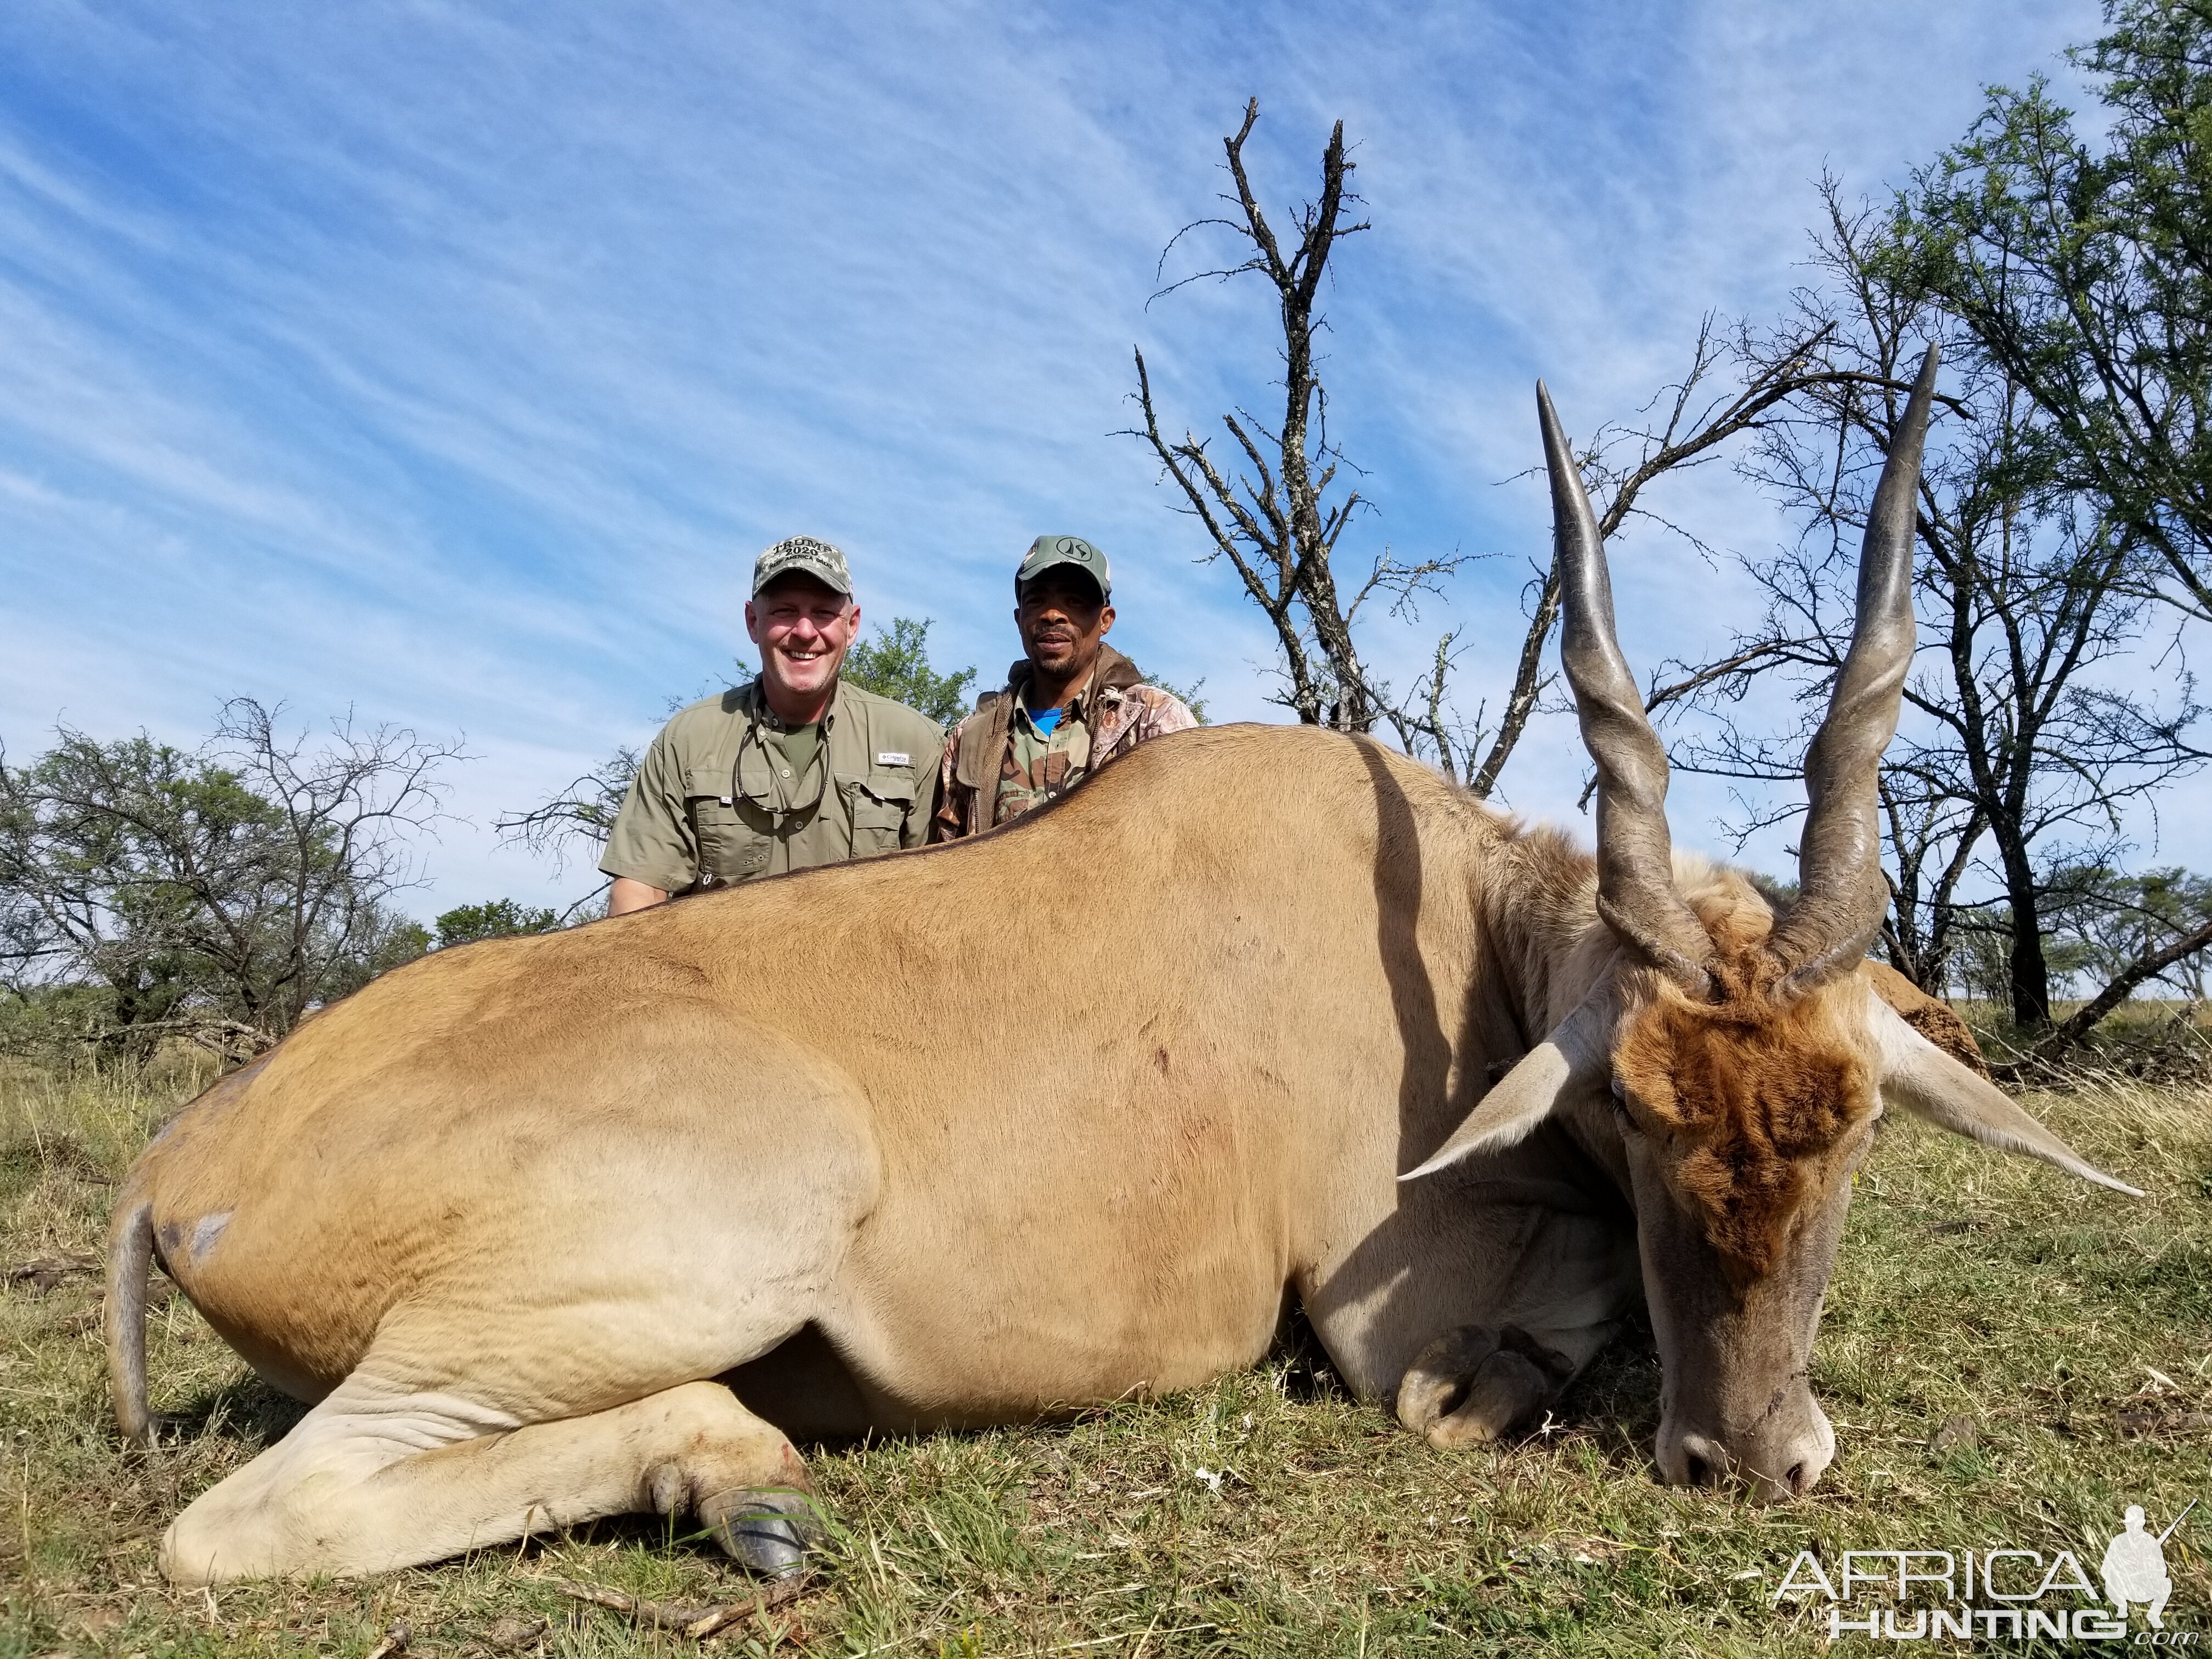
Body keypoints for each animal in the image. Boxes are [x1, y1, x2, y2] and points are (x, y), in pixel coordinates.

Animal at [112, 347, 2132, 1583]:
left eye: (1854, 1125)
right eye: (1636, 1118)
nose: (1749, 1458)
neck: (1452, 933)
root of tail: (180, 1165)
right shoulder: (1391, 1306)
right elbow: (1488, 1364)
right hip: (715, 1231)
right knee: (246, 1519)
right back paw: (739, 1473)